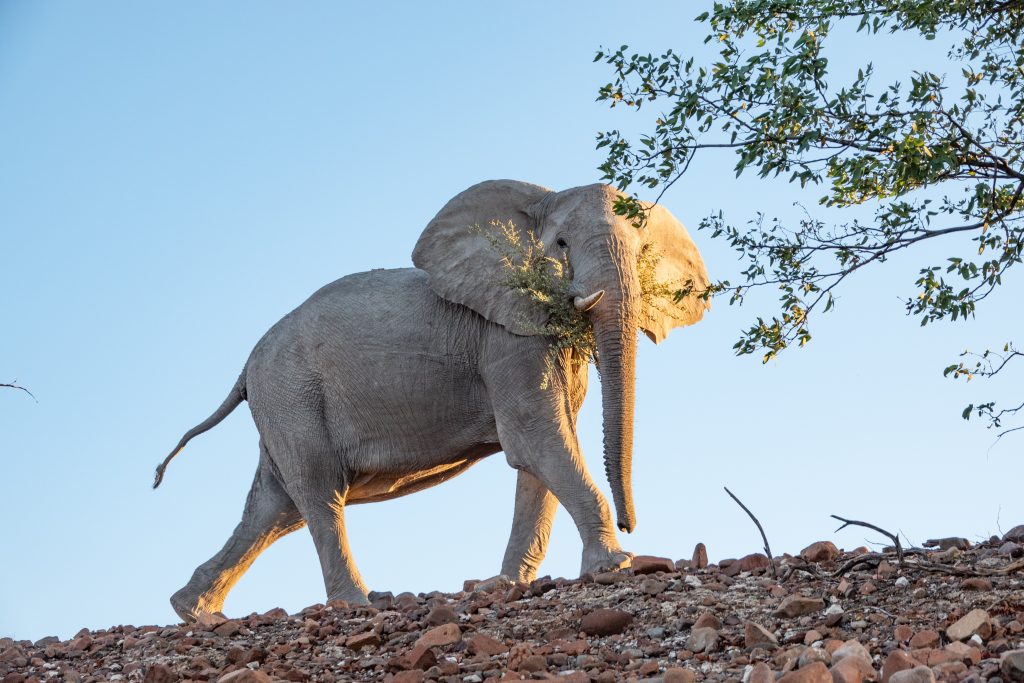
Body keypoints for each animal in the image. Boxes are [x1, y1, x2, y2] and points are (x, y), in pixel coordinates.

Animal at [155, 179, 708, 622]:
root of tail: (246, 366)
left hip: (283, 402)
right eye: (561, 244)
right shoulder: (504, 336)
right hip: (291, 393)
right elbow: (534, 438)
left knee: (274, 508)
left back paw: (194, 612)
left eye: (644, 250)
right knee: (317, 492)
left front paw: (509, 584)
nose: (630, 523)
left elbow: (547, 447)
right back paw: (358, 603)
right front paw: (616, 565)